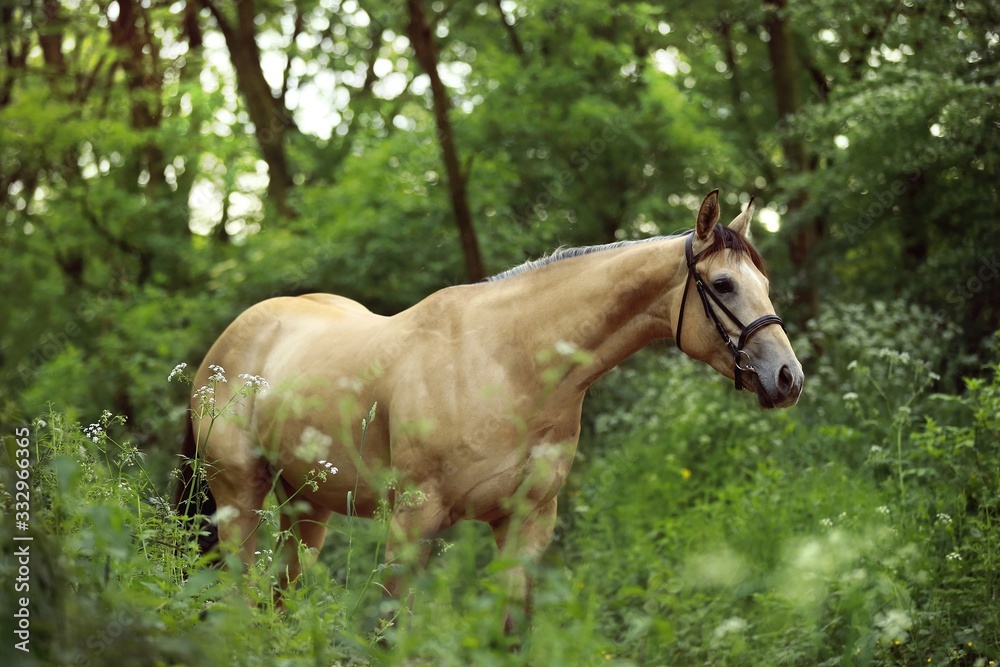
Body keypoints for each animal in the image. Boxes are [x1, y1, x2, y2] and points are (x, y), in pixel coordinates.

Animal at [173, 189, 804, 633]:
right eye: (722, 284)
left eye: (763, 281)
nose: (787, 377)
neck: (510, 363)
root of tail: (229, 344)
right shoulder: (413, 519)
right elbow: (390, 627)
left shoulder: (528, 522)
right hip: (240, 498)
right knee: (238, 595)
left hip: (307, 507)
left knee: (279, 596)